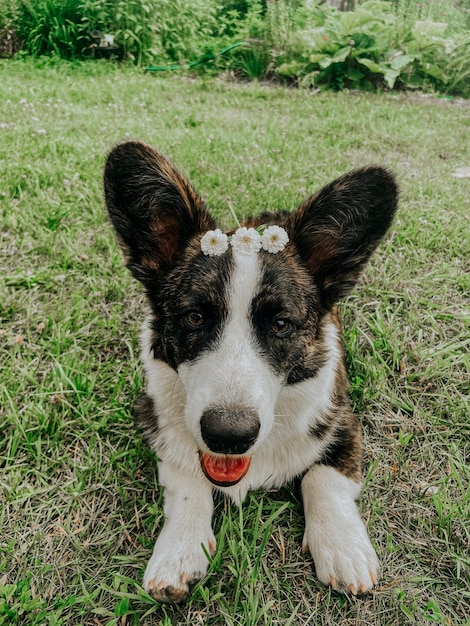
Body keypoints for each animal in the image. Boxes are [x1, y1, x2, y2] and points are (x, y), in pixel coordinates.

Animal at [103, 140, 396, 600]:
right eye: (194, 318)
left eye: (280, 324)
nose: (228, 437)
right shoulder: (156, 422)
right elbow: (186, 481)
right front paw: (178, 551)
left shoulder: (343, 421)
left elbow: (323, 477)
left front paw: (343, 549)